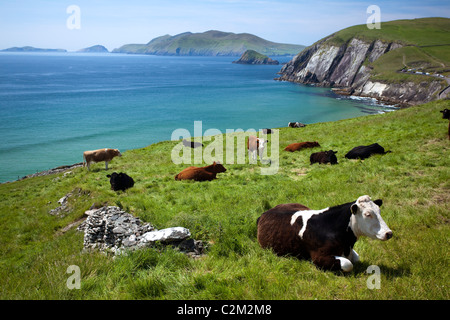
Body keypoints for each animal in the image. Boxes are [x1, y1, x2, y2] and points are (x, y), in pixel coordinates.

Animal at [256, 195, 394, 272]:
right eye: (367, 214)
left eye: (379, 211)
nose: (389, 233)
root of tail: (266, 212)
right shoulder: (318, 257)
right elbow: (348, 264)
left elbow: (356, 258)